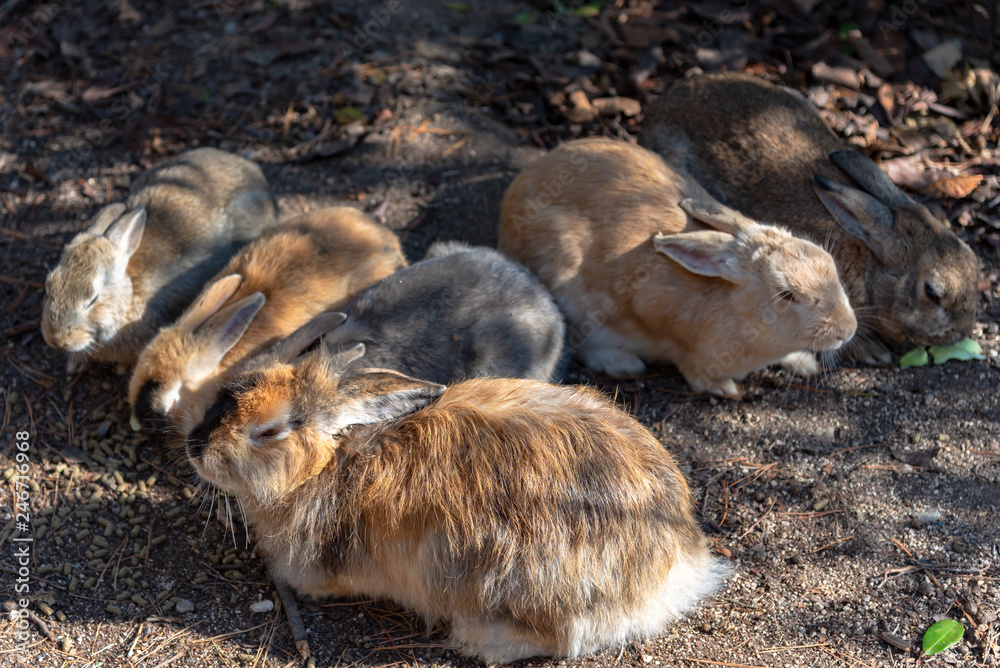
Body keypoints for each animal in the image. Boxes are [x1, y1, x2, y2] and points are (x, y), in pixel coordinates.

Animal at [498, 138, 857, 398]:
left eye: (830, 263)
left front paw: (805, 364)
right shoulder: (658, 314)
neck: (740, 311)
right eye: (786, 295)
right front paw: (724, 388)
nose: (848, 330)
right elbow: (686, 362)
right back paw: (622, 364)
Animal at [639, 71, 979, 366]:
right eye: (932, 293)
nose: (961, 332)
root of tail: (659, 106)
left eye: (972, 259)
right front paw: (872, 352)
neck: (868, 258)